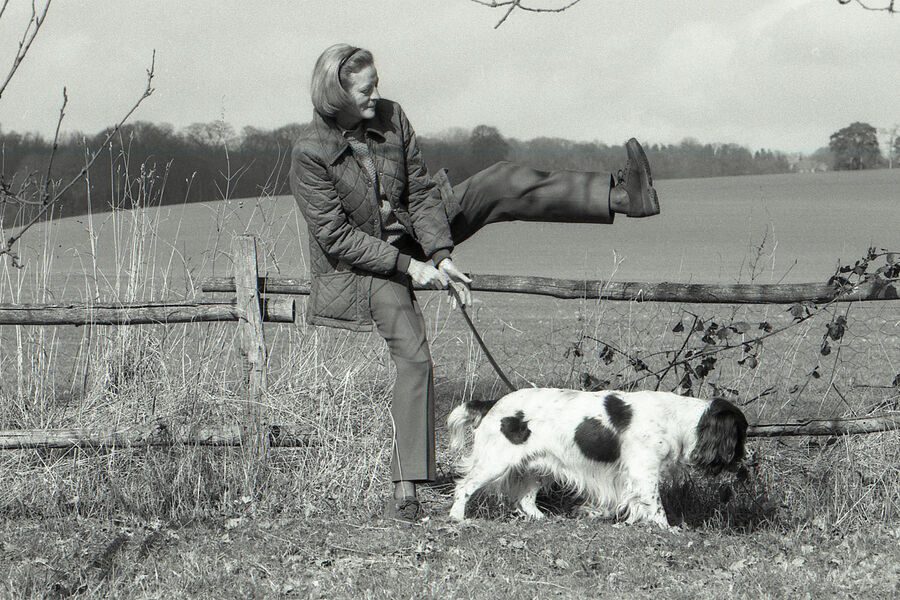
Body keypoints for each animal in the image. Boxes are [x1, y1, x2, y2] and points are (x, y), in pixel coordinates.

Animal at [446, 386, 748, 528]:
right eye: (742, 433)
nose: (741, 459)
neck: (676, 417)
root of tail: (492, 404)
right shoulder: (643, 470)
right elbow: (655, 504)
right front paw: (667, 528)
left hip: (539, 466)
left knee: (525, 498)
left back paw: (543, 519)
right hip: (495, 462)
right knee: (464, 487)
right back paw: (457, 518)